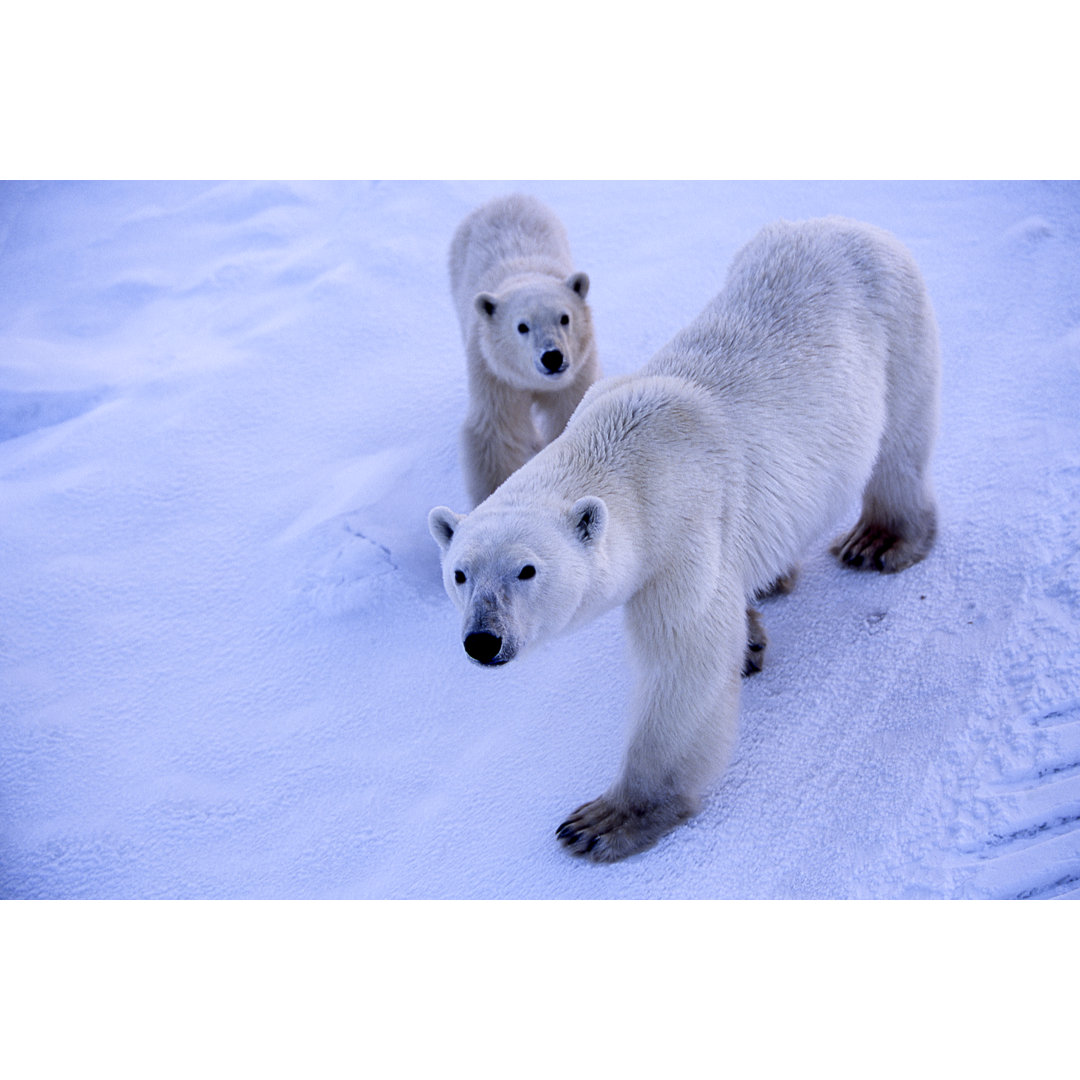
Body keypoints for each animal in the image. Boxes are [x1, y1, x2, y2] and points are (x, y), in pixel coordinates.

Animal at [444, 194, 600, 505]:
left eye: (564, 317)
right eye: (522, 327)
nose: (552, 357)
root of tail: (502, 199)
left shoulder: (577, 372)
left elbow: (567, 415)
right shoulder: (495, 374)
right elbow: (496, 434)